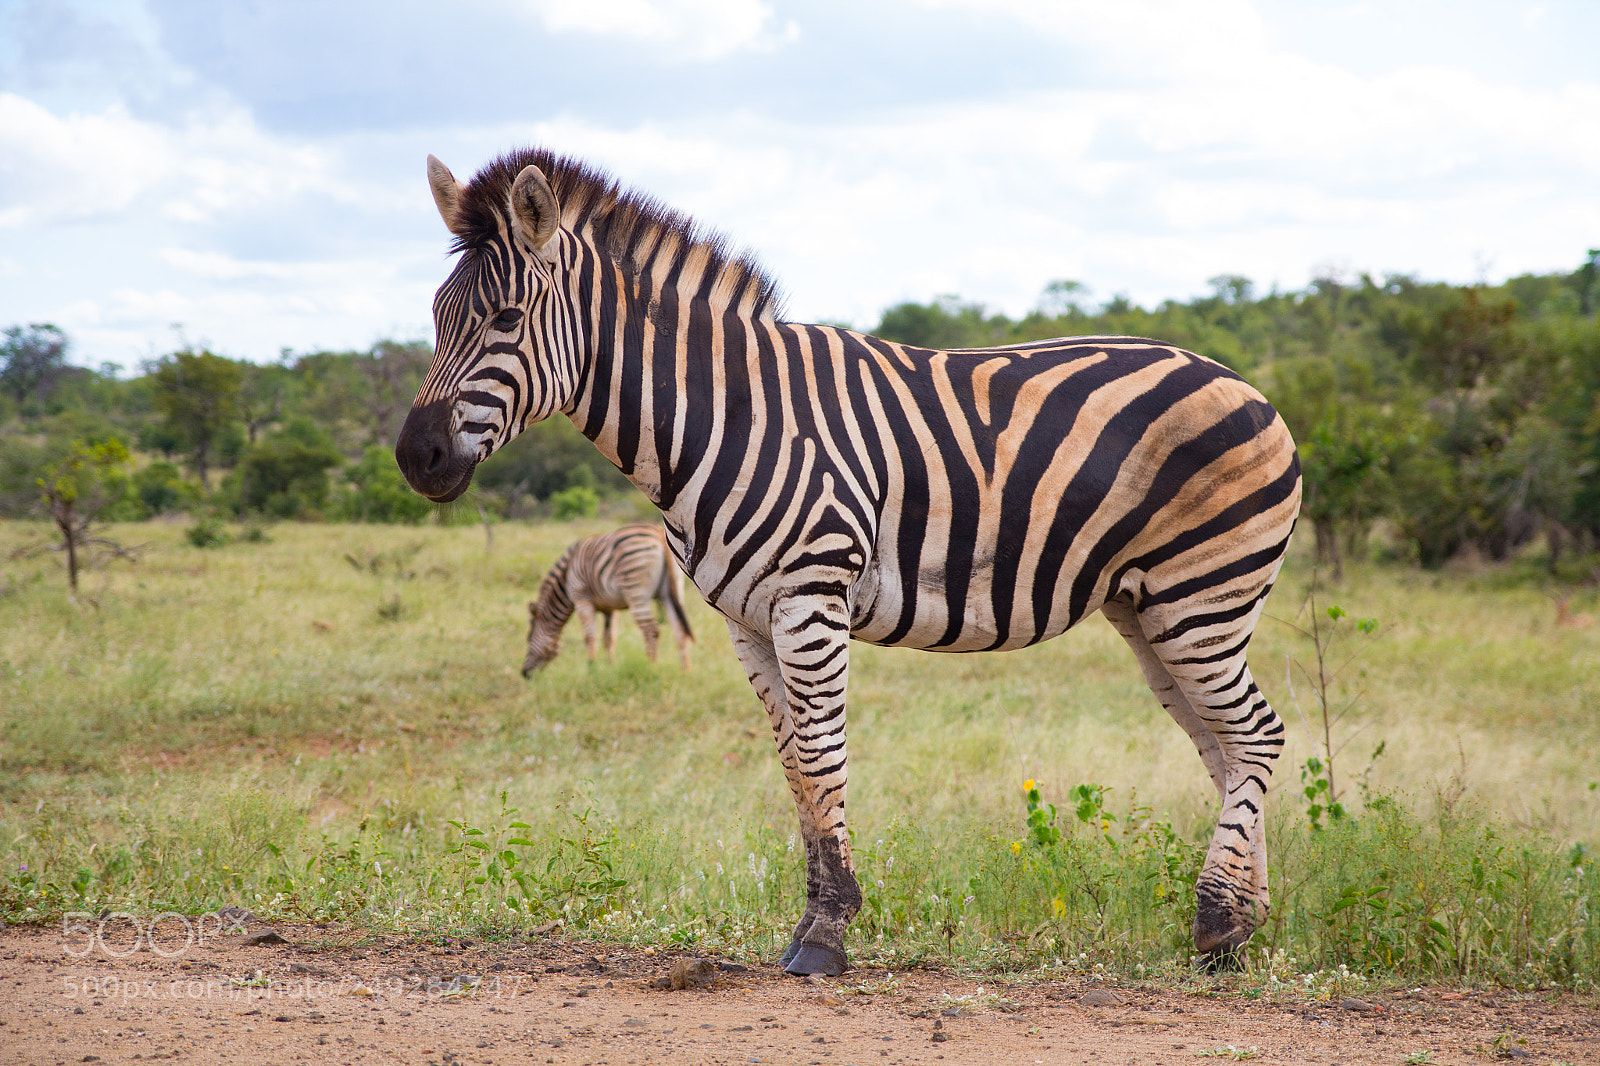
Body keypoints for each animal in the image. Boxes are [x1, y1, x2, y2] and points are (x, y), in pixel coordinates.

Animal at [523, 523, 695, 675]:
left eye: (529, 638)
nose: (524, 673)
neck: (565, 578)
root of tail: (659, 534)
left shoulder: (581, 599)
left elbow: (590, 637)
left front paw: (591, 668)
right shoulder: (610, 607)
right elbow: (609, 639)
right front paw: (610, 667)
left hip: (636, 592)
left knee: (651, 630)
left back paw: (651, 667)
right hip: (670, 593)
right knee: (679, 629)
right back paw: (685, 671)